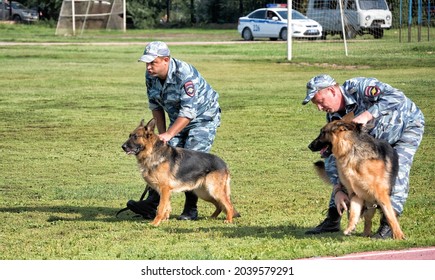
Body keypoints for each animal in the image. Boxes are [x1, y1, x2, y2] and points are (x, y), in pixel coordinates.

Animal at [310, 112, 406, 240]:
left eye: (322, 132)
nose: (309, 146)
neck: (351, 151)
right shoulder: (355, 194)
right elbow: (353, 213)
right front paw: (350, 227)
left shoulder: (381, 194)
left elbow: (390, 215)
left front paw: (398, 235)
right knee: (367, 219)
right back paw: (366, 234)